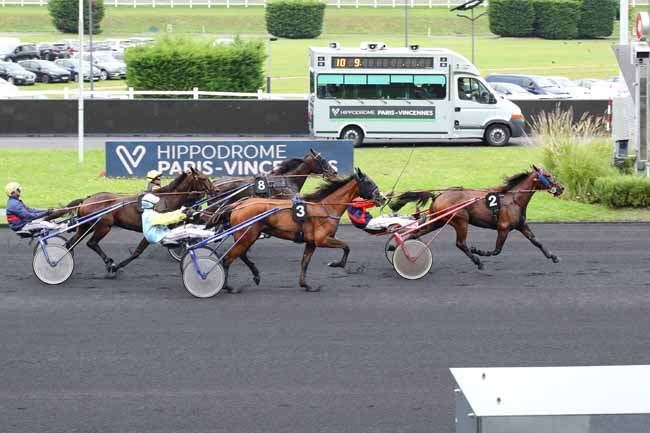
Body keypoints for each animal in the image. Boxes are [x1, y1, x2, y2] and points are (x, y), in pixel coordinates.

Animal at [63, 167, 211, 276]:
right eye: (203, 178)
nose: (213, 189)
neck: (166, 198)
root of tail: (86, 200)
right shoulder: (152, 230)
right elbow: (137, 252)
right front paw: (116, 267)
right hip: (104, 226)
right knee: (91, 243)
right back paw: (109, 262)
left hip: (87, 226)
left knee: (71, 243)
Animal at [213, 167, 384, 292]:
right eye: (369, 183)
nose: (382, 198)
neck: (325, 207)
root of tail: (238, 204)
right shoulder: (322, 240)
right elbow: (346, 247)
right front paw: (337, 264)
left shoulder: (312, 242)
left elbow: (305, 262)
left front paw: (306, 285)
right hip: (248, 235)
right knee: (229, 258)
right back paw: (228, 286)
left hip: (249, 236)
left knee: (240, 255)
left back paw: (255, 276)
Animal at [390, 166, 560, 270]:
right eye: (548, 175)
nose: (561, 188)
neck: (513, 199)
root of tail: (438, 195)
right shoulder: (503, 228)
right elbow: (497, 250)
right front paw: (478, 251)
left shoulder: (521, 225)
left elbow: (536, 241)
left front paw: (553, 256)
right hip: (460, 220)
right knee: (460, 243)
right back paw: (477, 262)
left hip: (438, 221)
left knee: (416, 233)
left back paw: (399, 248)